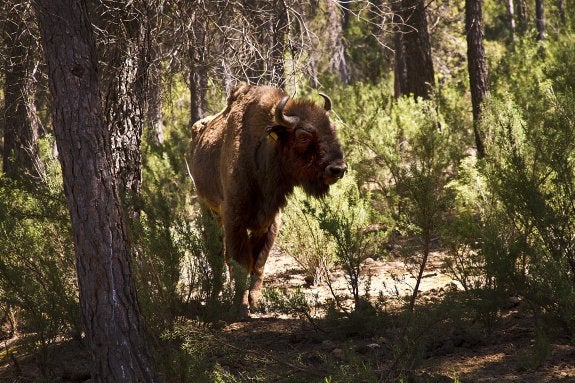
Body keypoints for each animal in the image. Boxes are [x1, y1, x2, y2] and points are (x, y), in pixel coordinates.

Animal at [189, 83, 346, 316]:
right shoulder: (234, 218)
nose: (338, 168)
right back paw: (214, 298)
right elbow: (241, 263)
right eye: (303, 136)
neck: (264, 149)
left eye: (332, 128)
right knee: (215, 253)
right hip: (208, 209)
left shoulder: (269, 221)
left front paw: (256, 302)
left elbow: (258, 262)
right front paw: (240, 307)